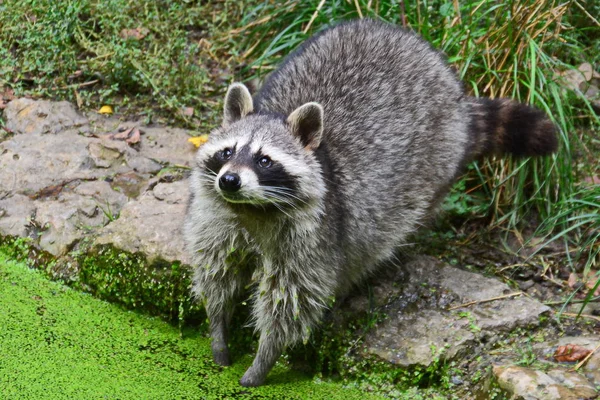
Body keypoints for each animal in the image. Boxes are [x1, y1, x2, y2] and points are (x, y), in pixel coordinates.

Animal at [184, 18, 556, 388]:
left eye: (264, 160)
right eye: (227, 152)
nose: (229, 181)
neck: (252, 208)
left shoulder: (313, 235)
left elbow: (291, 300)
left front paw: (264, 358)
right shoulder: (217, 219)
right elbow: (217, 272)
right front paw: (218, 327)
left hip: (433, 164)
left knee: (380, 239)